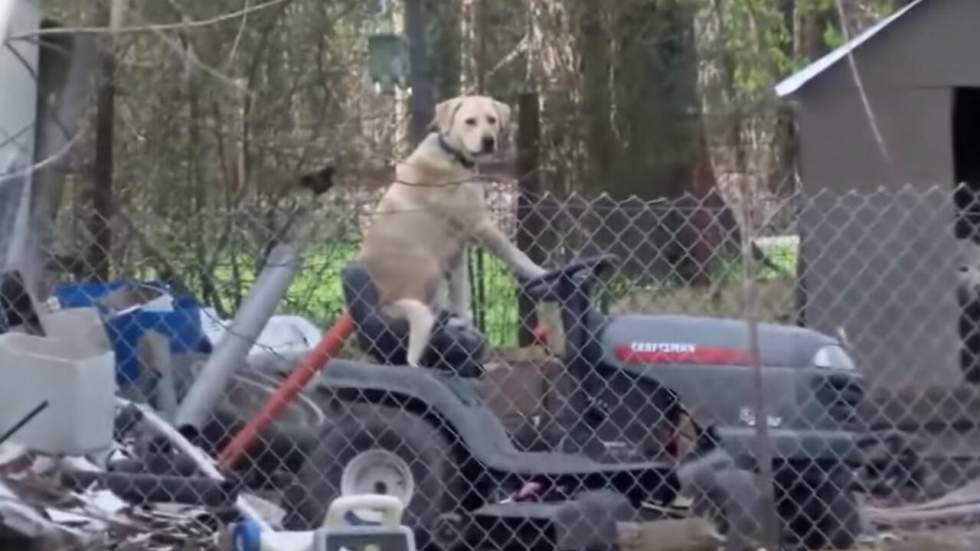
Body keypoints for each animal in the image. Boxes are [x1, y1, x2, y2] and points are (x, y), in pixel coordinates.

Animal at [356, 95, 548, 368]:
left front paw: (463, 322)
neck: (452, 156)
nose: (488, 141)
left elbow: (460, 294)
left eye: (492, 120)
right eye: (470, 122)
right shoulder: (481, 226)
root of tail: (385, 303)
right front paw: (540, 272)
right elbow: (518, 256)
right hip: (427, 264)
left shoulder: (458, 250)